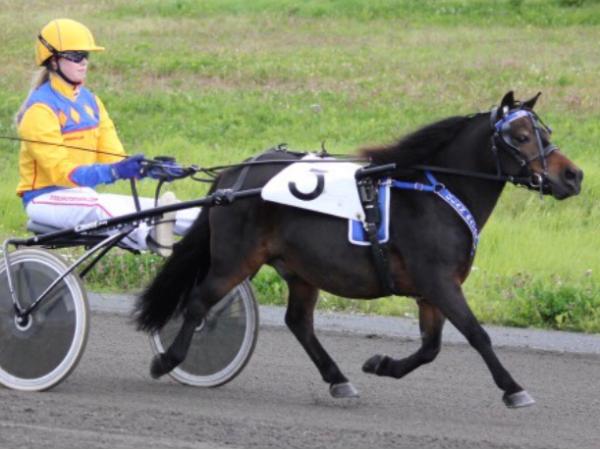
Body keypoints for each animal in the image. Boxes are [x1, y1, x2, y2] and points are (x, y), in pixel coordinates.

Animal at [135, 91, 583, 408]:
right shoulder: (439, 282)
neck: (436, 192)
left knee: (299, 322)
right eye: (520, 137)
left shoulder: (431, 291)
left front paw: (381, 364)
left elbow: (431, 347)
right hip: (235, 259)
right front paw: (513, 388)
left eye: (546, 134)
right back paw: (167, 360)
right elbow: (477, 334)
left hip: (300, 269)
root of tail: (232, 176)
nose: (573, 176)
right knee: (198, 302)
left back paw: (339, 380)